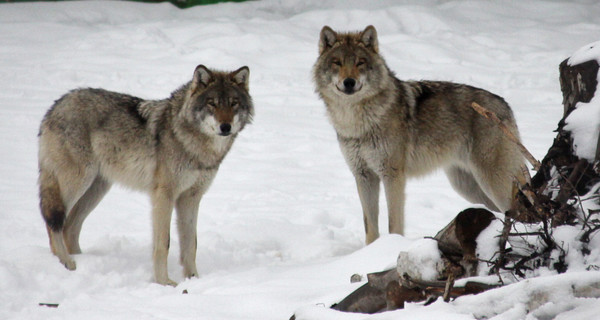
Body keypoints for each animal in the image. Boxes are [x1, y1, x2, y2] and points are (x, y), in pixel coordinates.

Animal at [37, 65, 253, 284]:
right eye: (212, 104)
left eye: (234, 104)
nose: (225, 127)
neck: (193, 144)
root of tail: (55, 106)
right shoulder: (164, 196)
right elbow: (164, 243)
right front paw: (164, 282)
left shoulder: (191, 197)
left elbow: (191, 244)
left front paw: (193, 279)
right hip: (78, 182)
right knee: (53, 221)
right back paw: (66, 262)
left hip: (96, 189)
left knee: (69, 226)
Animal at [314, 25, 524, 245]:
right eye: (337, 62)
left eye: (360, 62)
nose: (349, 82)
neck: (357, 122)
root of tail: (505, 105)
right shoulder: (363, 175)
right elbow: (370, 227)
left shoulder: (392, 175)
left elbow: (394, 222)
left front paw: (392, 246)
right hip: (469, 187)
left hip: (492, 184)